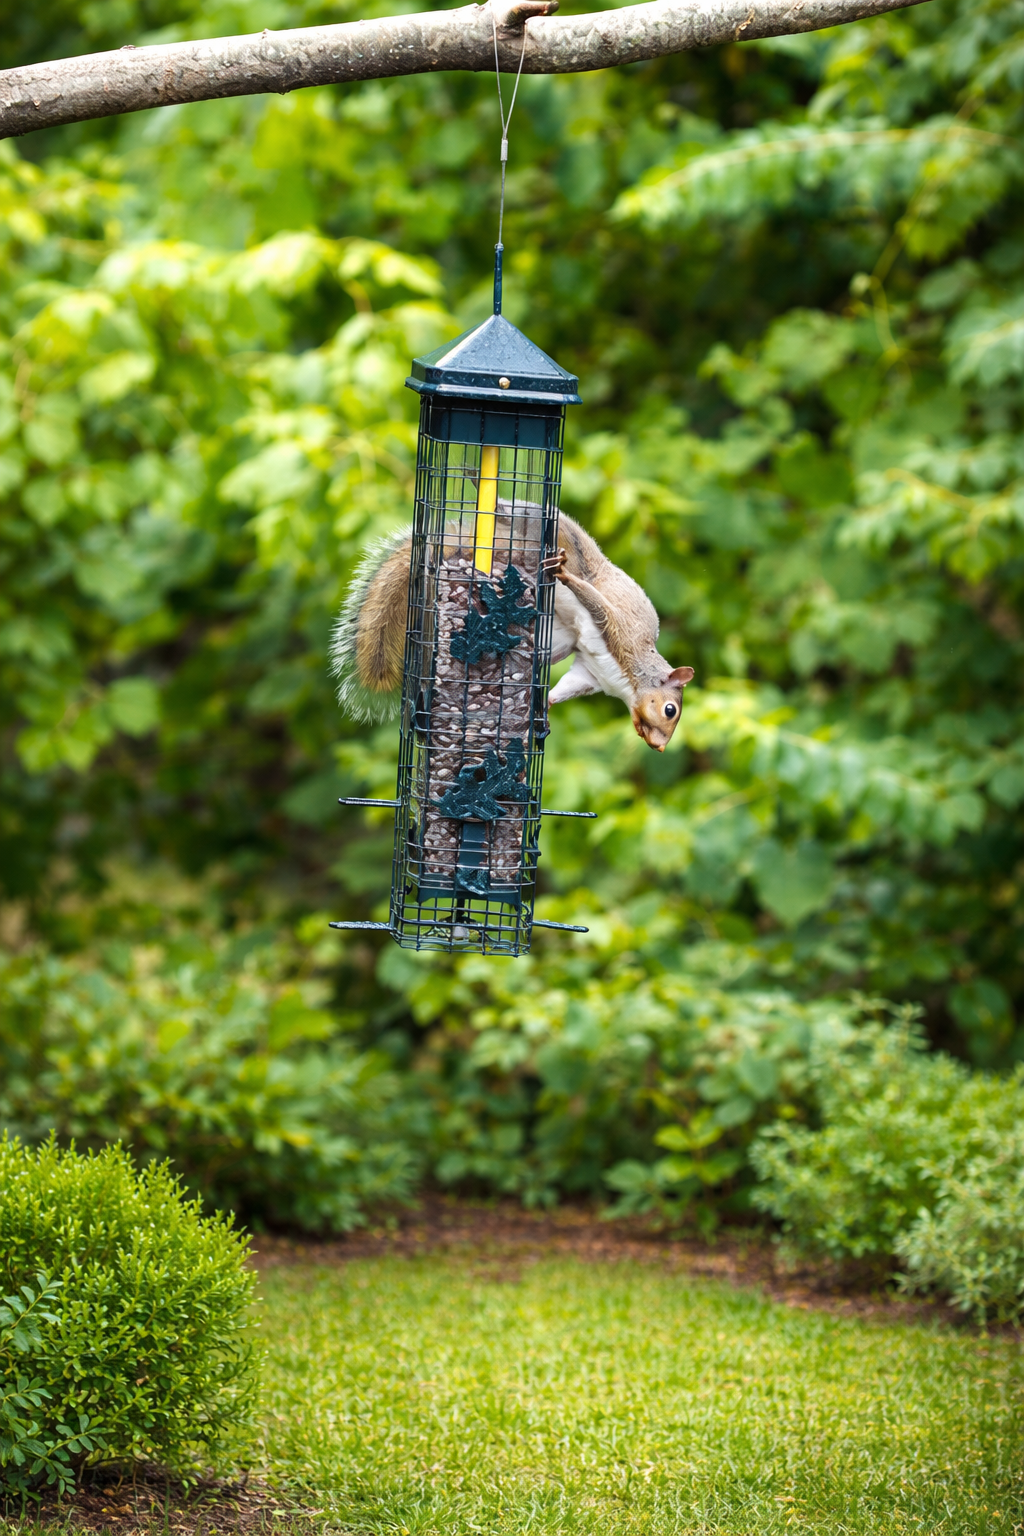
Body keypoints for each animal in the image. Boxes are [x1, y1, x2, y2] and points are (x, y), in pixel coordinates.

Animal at [330, 507, 694, 751]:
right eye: (670, 710)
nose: (660, 745)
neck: (627, 680)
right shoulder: (619, 631)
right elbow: (595, 602)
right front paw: (564, 575)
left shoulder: (589, 671)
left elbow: (565, 688)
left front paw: (544, 712)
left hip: (559, 640)